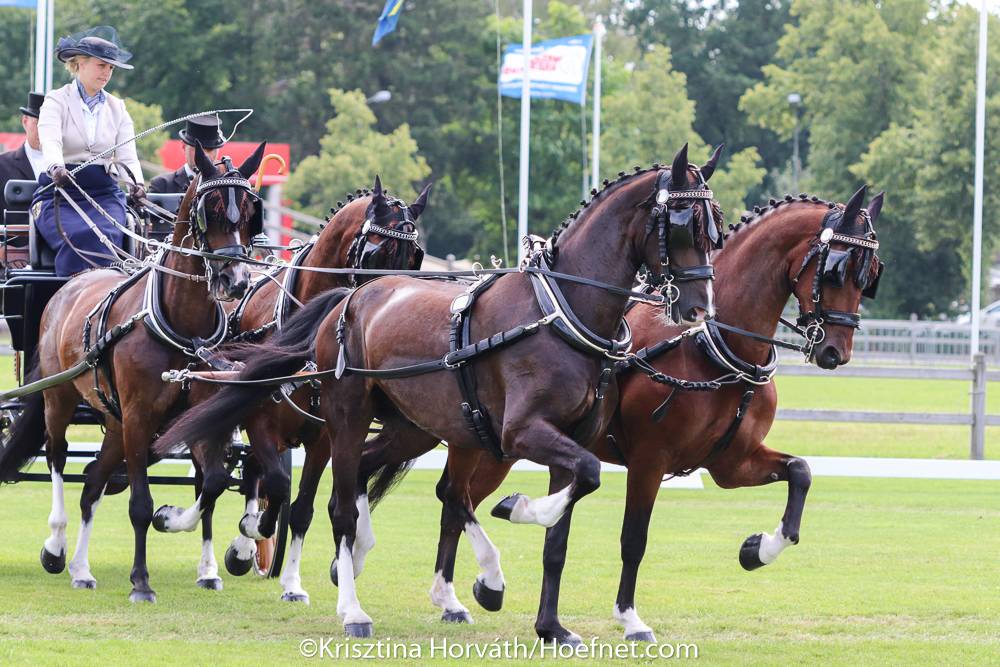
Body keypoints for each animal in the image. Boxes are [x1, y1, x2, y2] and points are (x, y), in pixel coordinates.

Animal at [0, 142, 265, 603]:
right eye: (209, 209)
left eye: (251, 210)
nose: (234, 280)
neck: (180, 323)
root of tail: (74, 280)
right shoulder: (140, 417)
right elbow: (140, 504)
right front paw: (141, 580)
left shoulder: (195, 417)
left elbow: (212, 484)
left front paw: (180, 529)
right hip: (61, 401)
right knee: (57, 457)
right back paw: (56, 546)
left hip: (113, 420)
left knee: (92, 483)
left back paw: (82, 569)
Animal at [150, 176, 428, 595]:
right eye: (376, 252)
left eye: (415, 257)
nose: (384, 320)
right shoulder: (260, 420)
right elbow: (278, 485)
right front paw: (251, 532)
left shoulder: (323, 437)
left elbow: (300, 508)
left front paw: (292, 582)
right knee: (213, 481)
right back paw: (207, 548)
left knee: (245, 474)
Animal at [376, 185, 885, 641]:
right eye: (837, 270)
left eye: (869, 277)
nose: (836, 351)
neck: (710, 344)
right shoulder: (649, 461)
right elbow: (633, 539)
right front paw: (630, 619)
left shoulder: (731, 463)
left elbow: (800, 473)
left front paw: (759, 549)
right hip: (472, 442)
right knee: (448, 496)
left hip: (471, 441)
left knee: (451, 498)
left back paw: (455, 596)